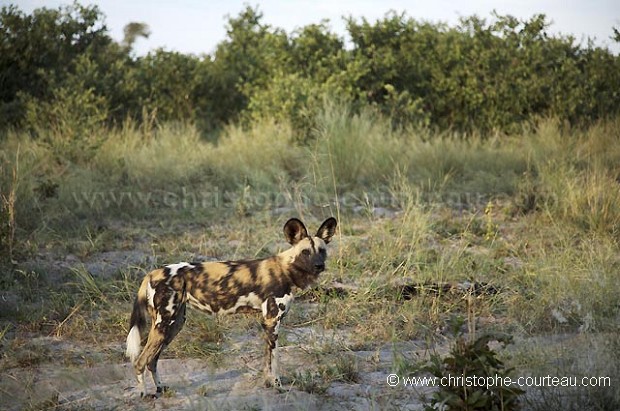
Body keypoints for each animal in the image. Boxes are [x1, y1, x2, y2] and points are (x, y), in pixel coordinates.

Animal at [126, 217, 336, 398]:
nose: (319, 266)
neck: (287, 269)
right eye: (305, 252)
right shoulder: (272, 321)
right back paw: (144, 394)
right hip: (164, 324)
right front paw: (277, 385)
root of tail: (152, 273)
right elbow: (274, 360)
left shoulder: (268, 324)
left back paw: (160, 388)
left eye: (322, 250)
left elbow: (267, 360)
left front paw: (268, 383)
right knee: (140, 361)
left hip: (174, 325)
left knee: (152, 360)